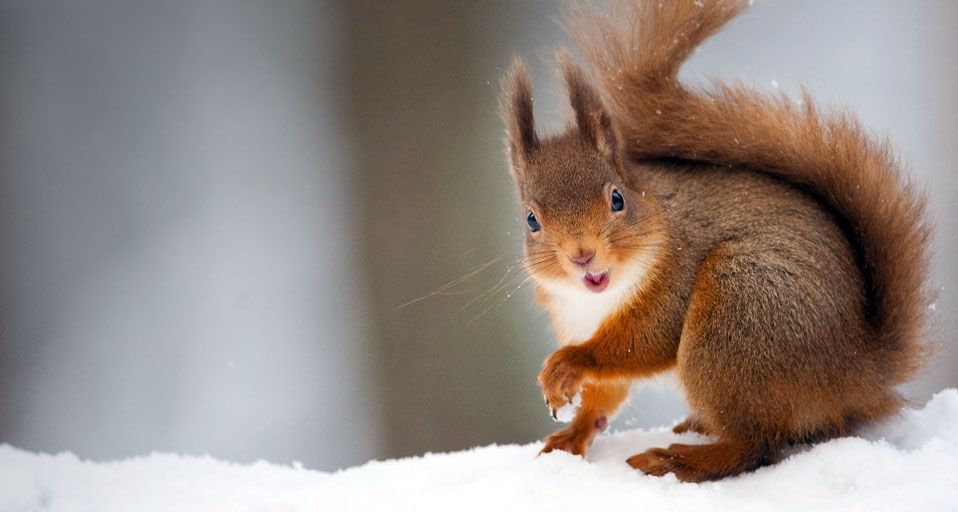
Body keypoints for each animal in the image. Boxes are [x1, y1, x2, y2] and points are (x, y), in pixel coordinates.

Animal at [500, 0, 931, 482]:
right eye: (532, 221)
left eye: (617, 199)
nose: (582, 255)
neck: (598, 299)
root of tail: (858, 369)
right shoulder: (571, 317)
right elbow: (606, 394)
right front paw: (573, 431)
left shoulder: (675, 276)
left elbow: (642, 341)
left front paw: (568, 365)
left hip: (736, 311)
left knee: (754, 445)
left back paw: (678, 460)